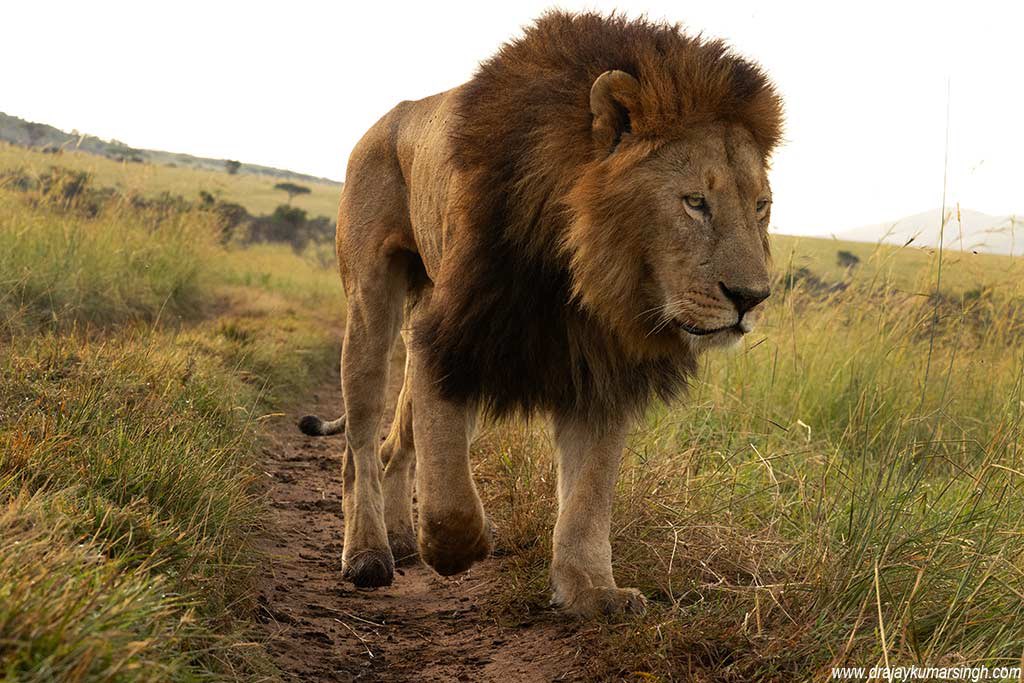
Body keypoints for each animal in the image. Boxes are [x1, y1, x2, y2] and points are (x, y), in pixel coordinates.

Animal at [299, 11, 783, 617]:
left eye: (760, 207)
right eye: (695, 202)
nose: (752, 298)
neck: (580, 277)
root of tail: (386, 120)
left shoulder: (603, 369)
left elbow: (589, 493)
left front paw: (591, 590)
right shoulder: (450, 337)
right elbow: (450, 501)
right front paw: (462, 549)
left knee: (395, 444)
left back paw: (404, 541)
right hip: (372, 306)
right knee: (360, 441)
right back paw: (368, 553)